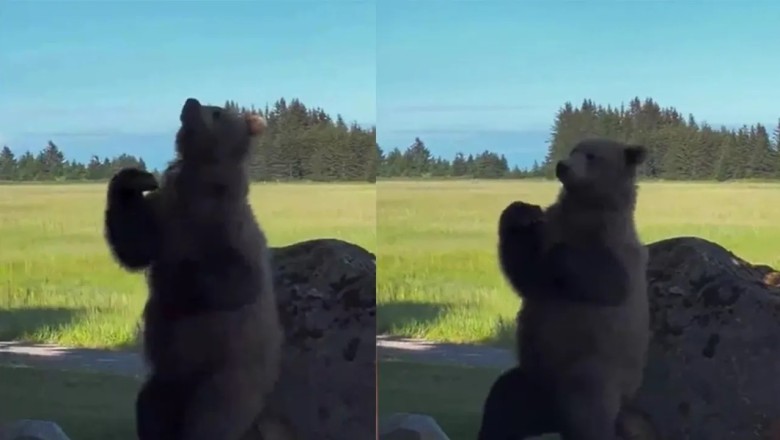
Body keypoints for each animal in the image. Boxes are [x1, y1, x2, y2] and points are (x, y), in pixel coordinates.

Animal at [104, 98, 284, 440]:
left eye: (217, 111)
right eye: (209, 103)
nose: (190, 102)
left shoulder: (227, 229)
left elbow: (237, 280)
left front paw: (175, 281)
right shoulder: (163, 218)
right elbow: (134, 244)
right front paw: (136, 179)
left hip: (226, 378)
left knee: (210, 419)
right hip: (166, 380)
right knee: (151, 407)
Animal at [477, 138, 653, 440]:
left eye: (591, 155)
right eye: (573, 150)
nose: (563, 166)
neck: (583, 211)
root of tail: (551, 416)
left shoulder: (616, 247)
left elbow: (609, 282)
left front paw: (561, 253)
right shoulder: (550, 231)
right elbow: (527, 275)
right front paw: (521, 213)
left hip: (590, 374)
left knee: (588, 415)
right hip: (529, 381)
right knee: (502, 404)